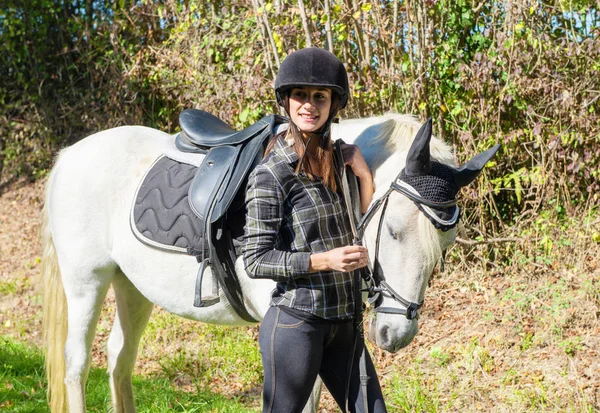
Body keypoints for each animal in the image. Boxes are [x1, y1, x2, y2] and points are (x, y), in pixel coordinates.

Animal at [39, 111, 494, 410]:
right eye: (395, 230)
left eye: (445, 246)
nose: (396, 334)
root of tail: (70, 155)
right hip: (85, 283)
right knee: (76, 364)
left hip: (131, 287)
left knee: (119, 359)